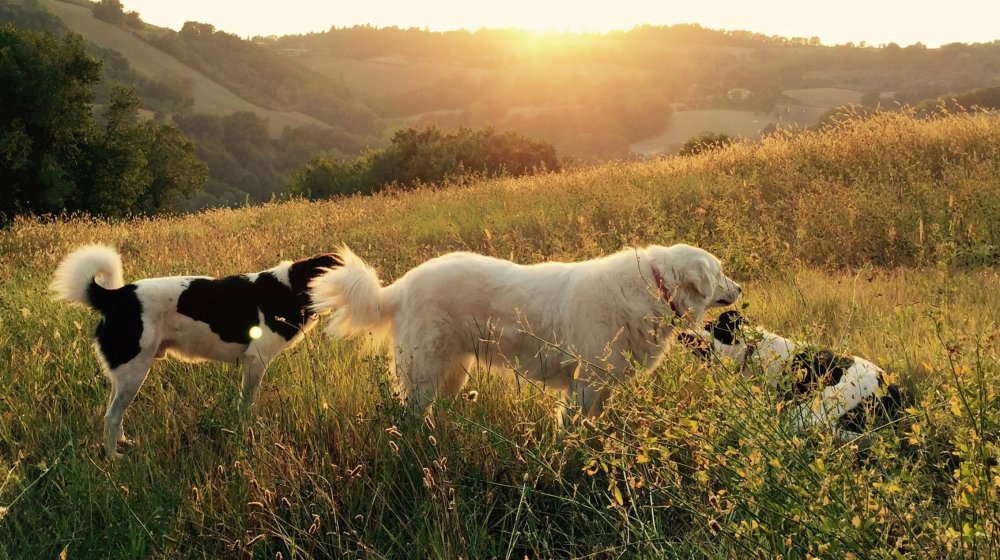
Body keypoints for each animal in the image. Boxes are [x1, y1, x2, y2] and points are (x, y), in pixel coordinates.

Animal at [312, 243, 744, 418]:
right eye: (721, 271)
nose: (740, 289)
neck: (653, 288)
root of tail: (400, 287)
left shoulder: (602, 386)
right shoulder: (585, 384)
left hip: (451, 372)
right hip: (423, 374)